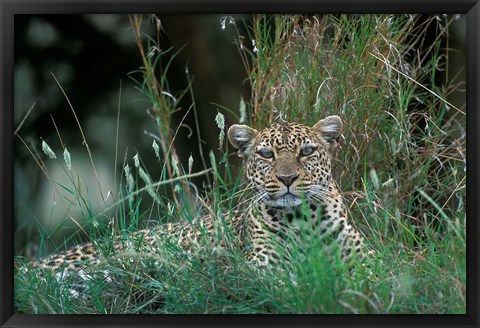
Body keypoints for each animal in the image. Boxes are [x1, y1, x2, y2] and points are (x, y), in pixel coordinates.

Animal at [21, 115, 368, 276]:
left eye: (307, 151)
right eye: (266, 154)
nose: (286, 179)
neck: (302, 219)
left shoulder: (367, 258)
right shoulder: (261, 265)